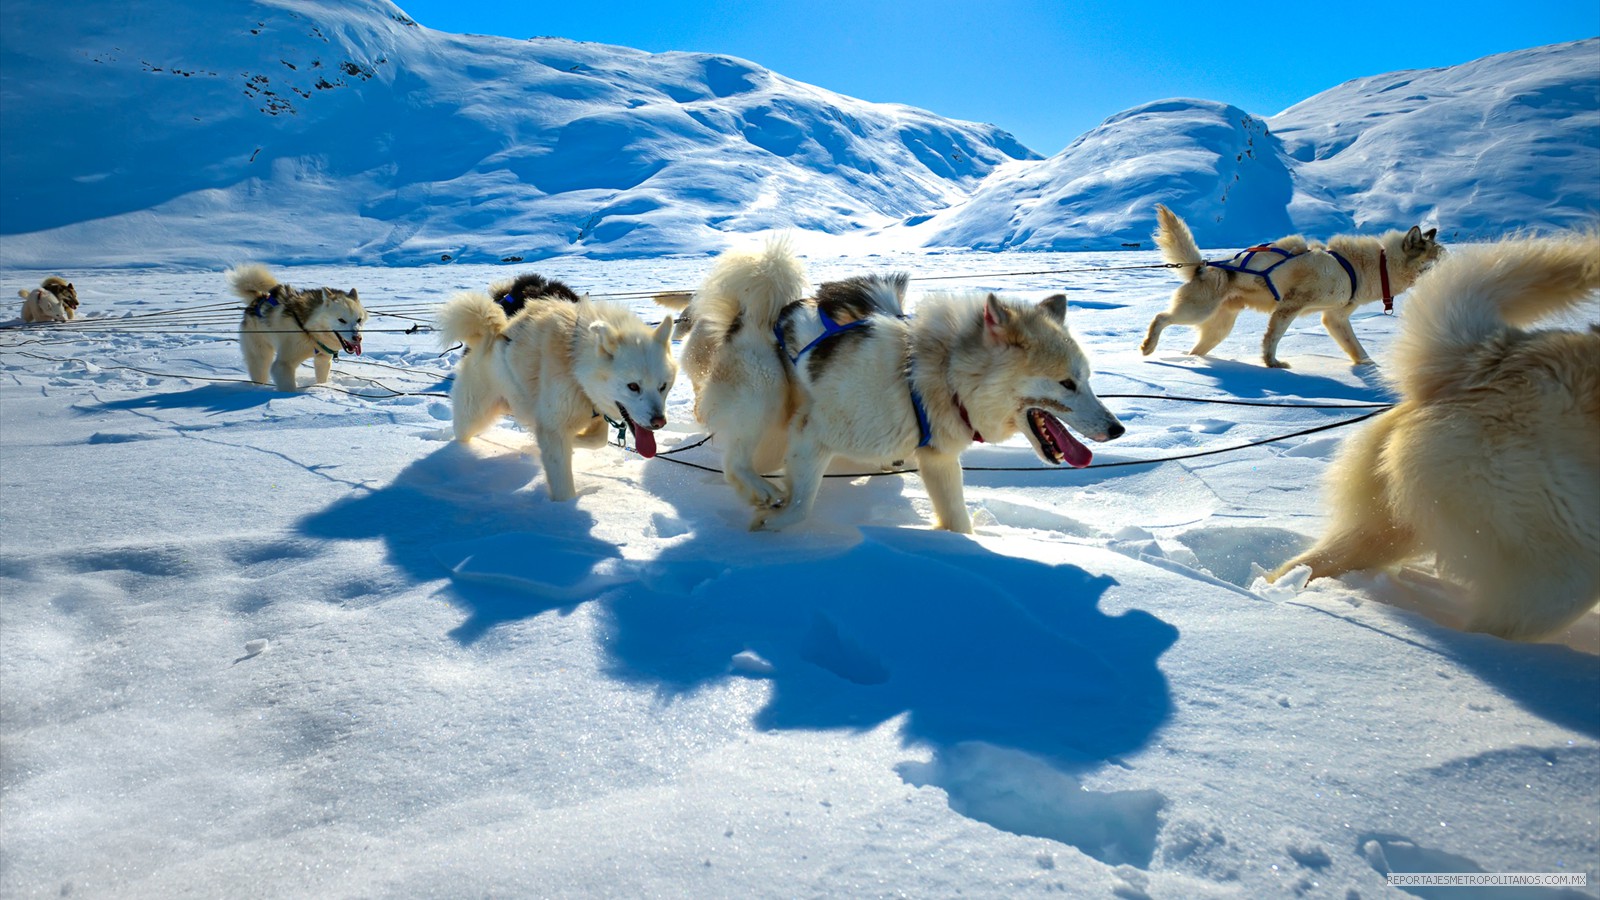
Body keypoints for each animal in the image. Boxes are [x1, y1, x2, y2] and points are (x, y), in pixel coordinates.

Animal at [228, 265, 366, 392]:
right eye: (341, 320)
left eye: (359, 320)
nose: (357, 338)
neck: (310, 332)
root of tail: (257, 299)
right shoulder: (283, 365)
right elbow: (288, 388)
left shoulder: (323, 360)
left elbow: (322, 379)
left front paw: (322, 388)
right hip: (260, 357)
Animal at [438, 283, 675, 499]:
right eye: (633, 386)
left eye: (663, 386)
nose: (659, 422)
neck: (576, 365)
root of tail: (490, 336)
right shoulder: (553, 428)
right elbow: (563, 480)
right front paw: (565, 509)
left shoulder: (593, 414)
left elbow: (597, 440)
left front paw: (563, 443)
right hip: (472, 416)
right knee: (461, 432)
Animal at [668, 240, 1132, 531]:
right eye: (1067, 383)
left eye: (1087, 379)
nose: (1117, 429)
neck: (931, 375)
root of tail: (748, 315)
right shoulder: (812, 435)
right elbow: (800, 507)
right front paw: (773, 521)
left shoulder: (938, 460)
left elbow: (958, 522)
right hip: (763, 400)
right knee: (735, 459)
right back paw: (760, 490)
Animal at [1145, 204, 1446, 366]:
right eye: (1438, 257)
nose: (1453, 266)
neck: (1366, 267)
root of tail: (1203, 266)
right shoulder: (1291, 305)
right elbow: (1273, 338)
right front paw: (1272, 363)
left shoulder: (1335, 318)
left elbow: (1356, 347)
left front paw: (1370, 367)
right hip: (1196, 312)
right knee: (1160, 317)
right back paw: (1148, 346)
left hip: (1218, 329)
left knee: (1196, 348)